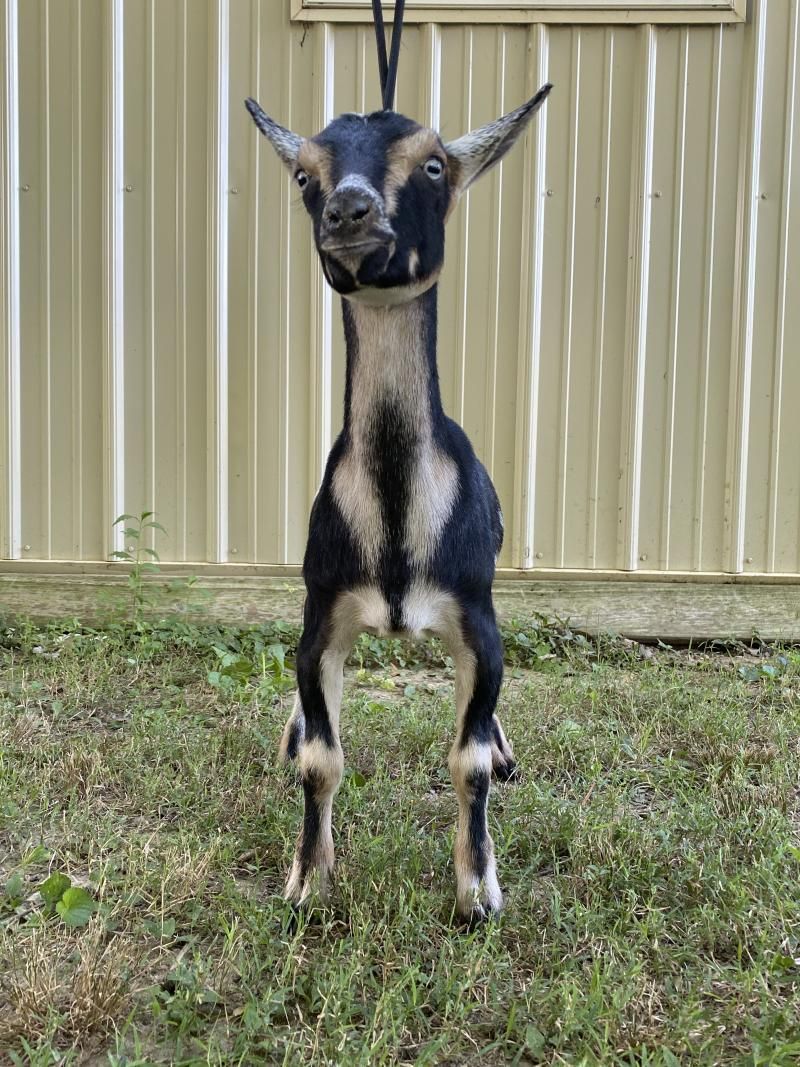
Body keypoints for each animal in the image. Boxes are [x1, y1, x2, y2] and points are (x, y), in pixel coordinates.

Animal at [246, 81, 551, 922]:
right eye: (304, 173)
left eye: (435, 164)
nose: (350, 211)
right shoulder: (322, 614)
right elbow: (322, 756)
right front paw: (308, 879)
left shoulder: (476, 617)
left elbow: (468, 756)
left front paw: (477, 890)